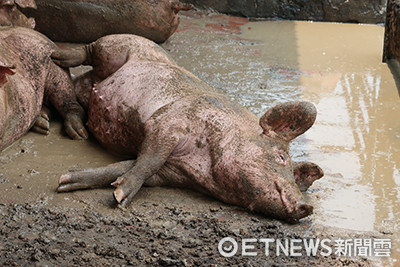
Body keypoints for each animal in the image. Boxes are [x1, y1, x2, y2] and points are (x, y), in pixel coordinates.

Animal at [53, 34, 324, 223]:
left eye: (295, 175)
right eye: (281, 157)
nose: (306, 206)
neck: (205, 164)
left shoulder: (172, 173)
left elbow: (123, 167)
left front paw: (65, 181)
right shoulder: (169, 121)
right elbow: (151, 158)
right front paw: (120, 198)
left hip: (89, 84)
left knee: (75, 87)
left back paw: (76, 129)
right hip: (120, 46)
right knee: (90, 49)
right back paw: (56, 57)